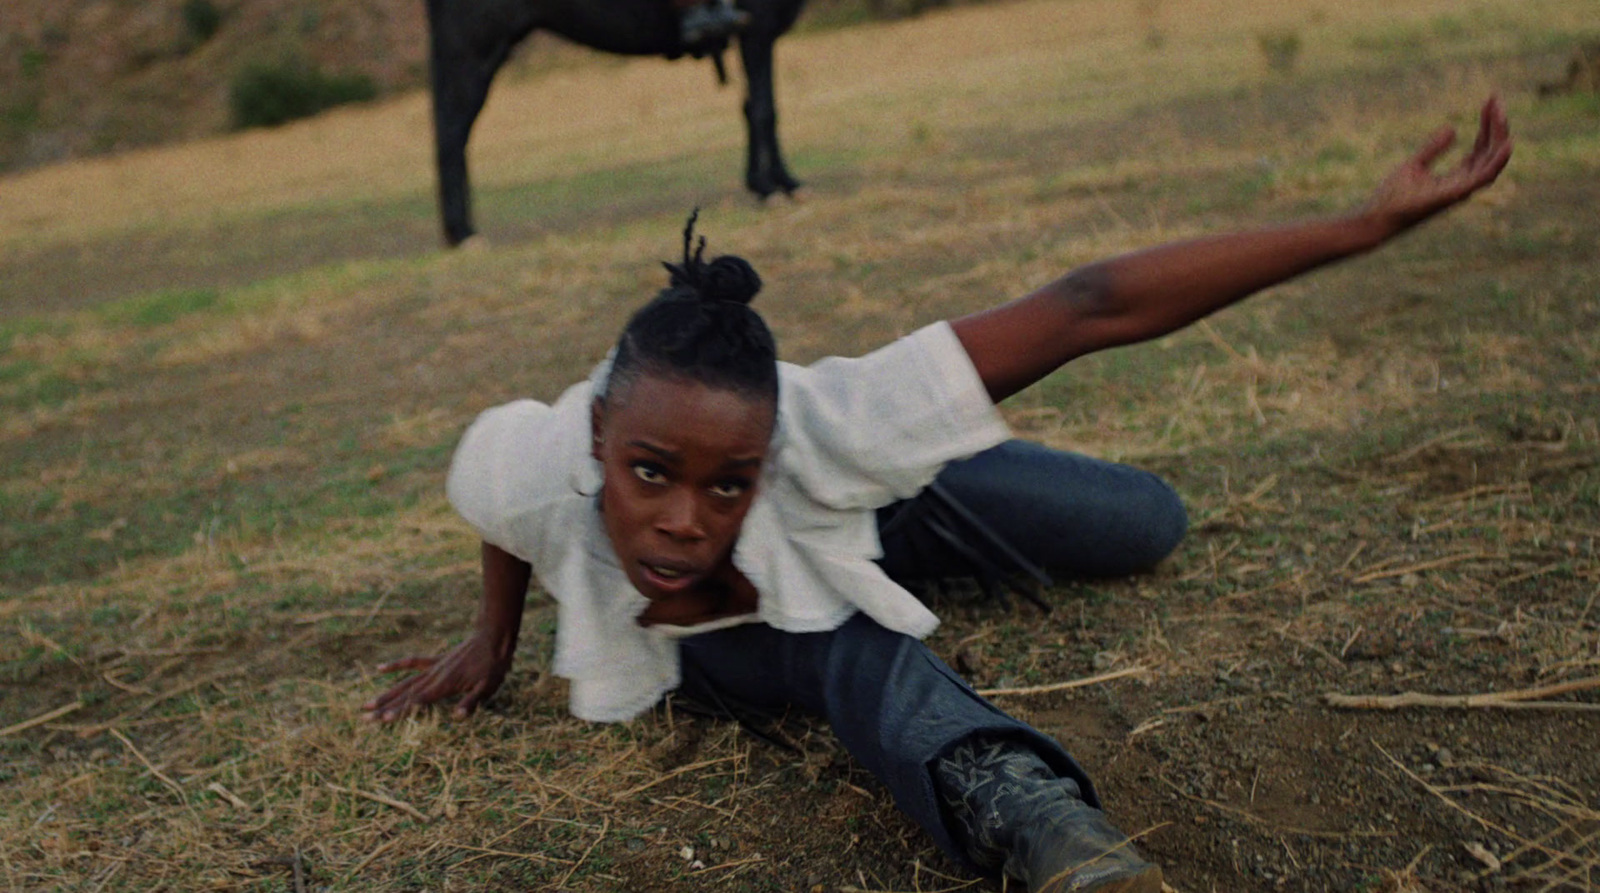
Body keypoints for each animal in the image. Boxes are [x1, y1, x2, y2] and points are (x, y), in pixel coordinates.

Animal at [425, 0, 806, 244]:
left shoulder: (757, 33)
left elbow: (755, 108)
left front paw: (779, 182)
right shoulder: (757, 30)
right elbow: (764, 109)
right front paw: (770, 187)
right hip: (473, 51)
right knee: (452, 133)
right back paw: (463, 233)